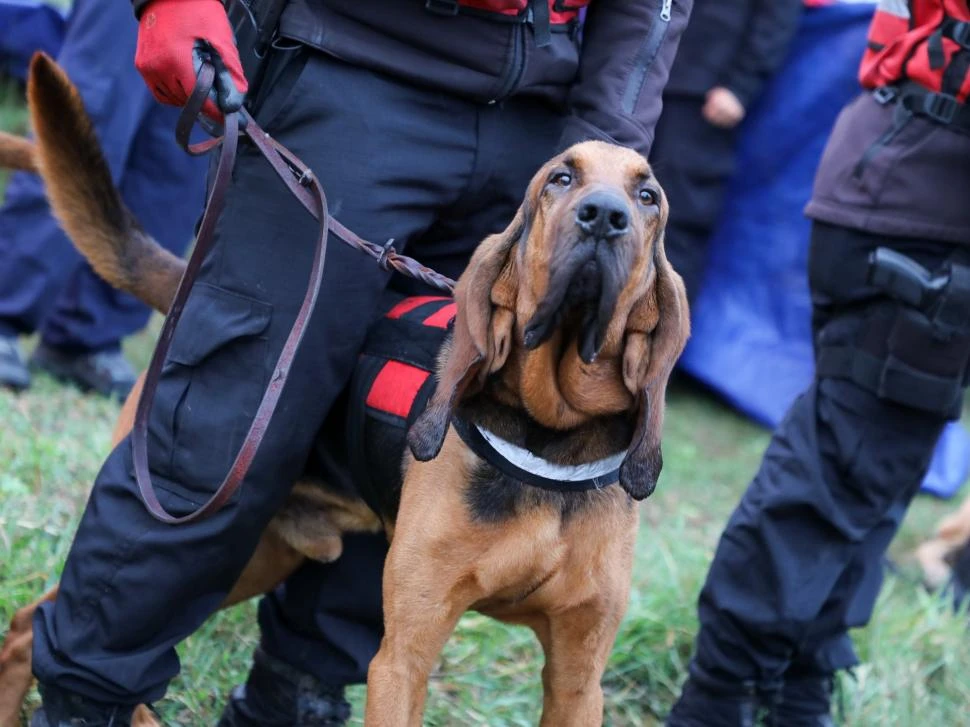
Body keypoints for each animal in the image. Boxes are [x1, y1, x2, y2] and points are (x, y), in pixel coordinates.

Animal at [0, 55, 688, 727]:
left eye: (647, 195)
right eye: (560, 179)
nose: (605, 218)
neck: (550, 436)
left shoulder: (579, 679)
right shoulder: (403, 657)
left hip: (259, 557)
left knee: (38, 621)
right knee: (44, 623)